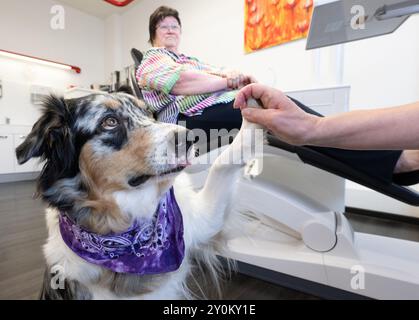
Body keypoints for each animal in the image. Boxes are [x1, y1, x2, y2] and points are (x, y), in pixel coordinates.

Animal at [18, 93, 264, 300]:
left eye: (148, 114)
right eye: (110, 122)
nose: (190, 137)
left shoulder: (204, 221)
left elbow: (223, 163)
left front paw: (254, 109)